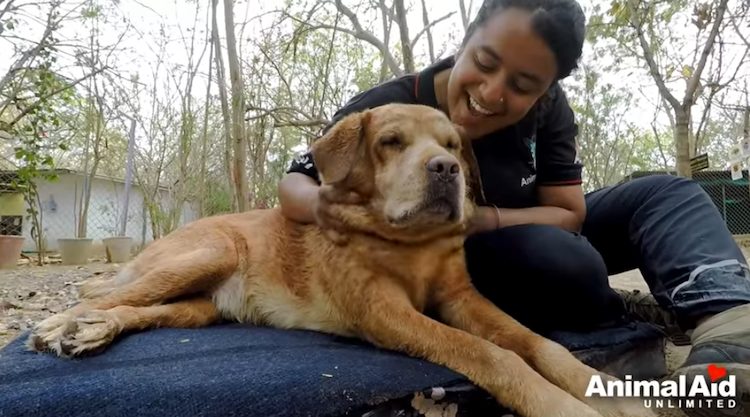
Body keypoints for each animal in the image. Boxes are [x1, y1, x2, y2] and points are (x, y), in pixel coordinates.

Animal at [26, 103, 656, 416]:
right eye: (392, 143)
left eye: (453, 146)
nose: (447, 169)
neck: (409, 243)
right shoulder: (386, 313)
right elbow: (493, 356)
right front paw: (562, 406)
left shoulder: (460, 297)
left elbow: (539, 343)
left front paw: (603, 388)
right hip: (206, 253)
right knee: (106, 293)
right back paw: (58, 325)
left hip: (201, 308)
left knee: (136, 310)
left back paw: (93, 330)